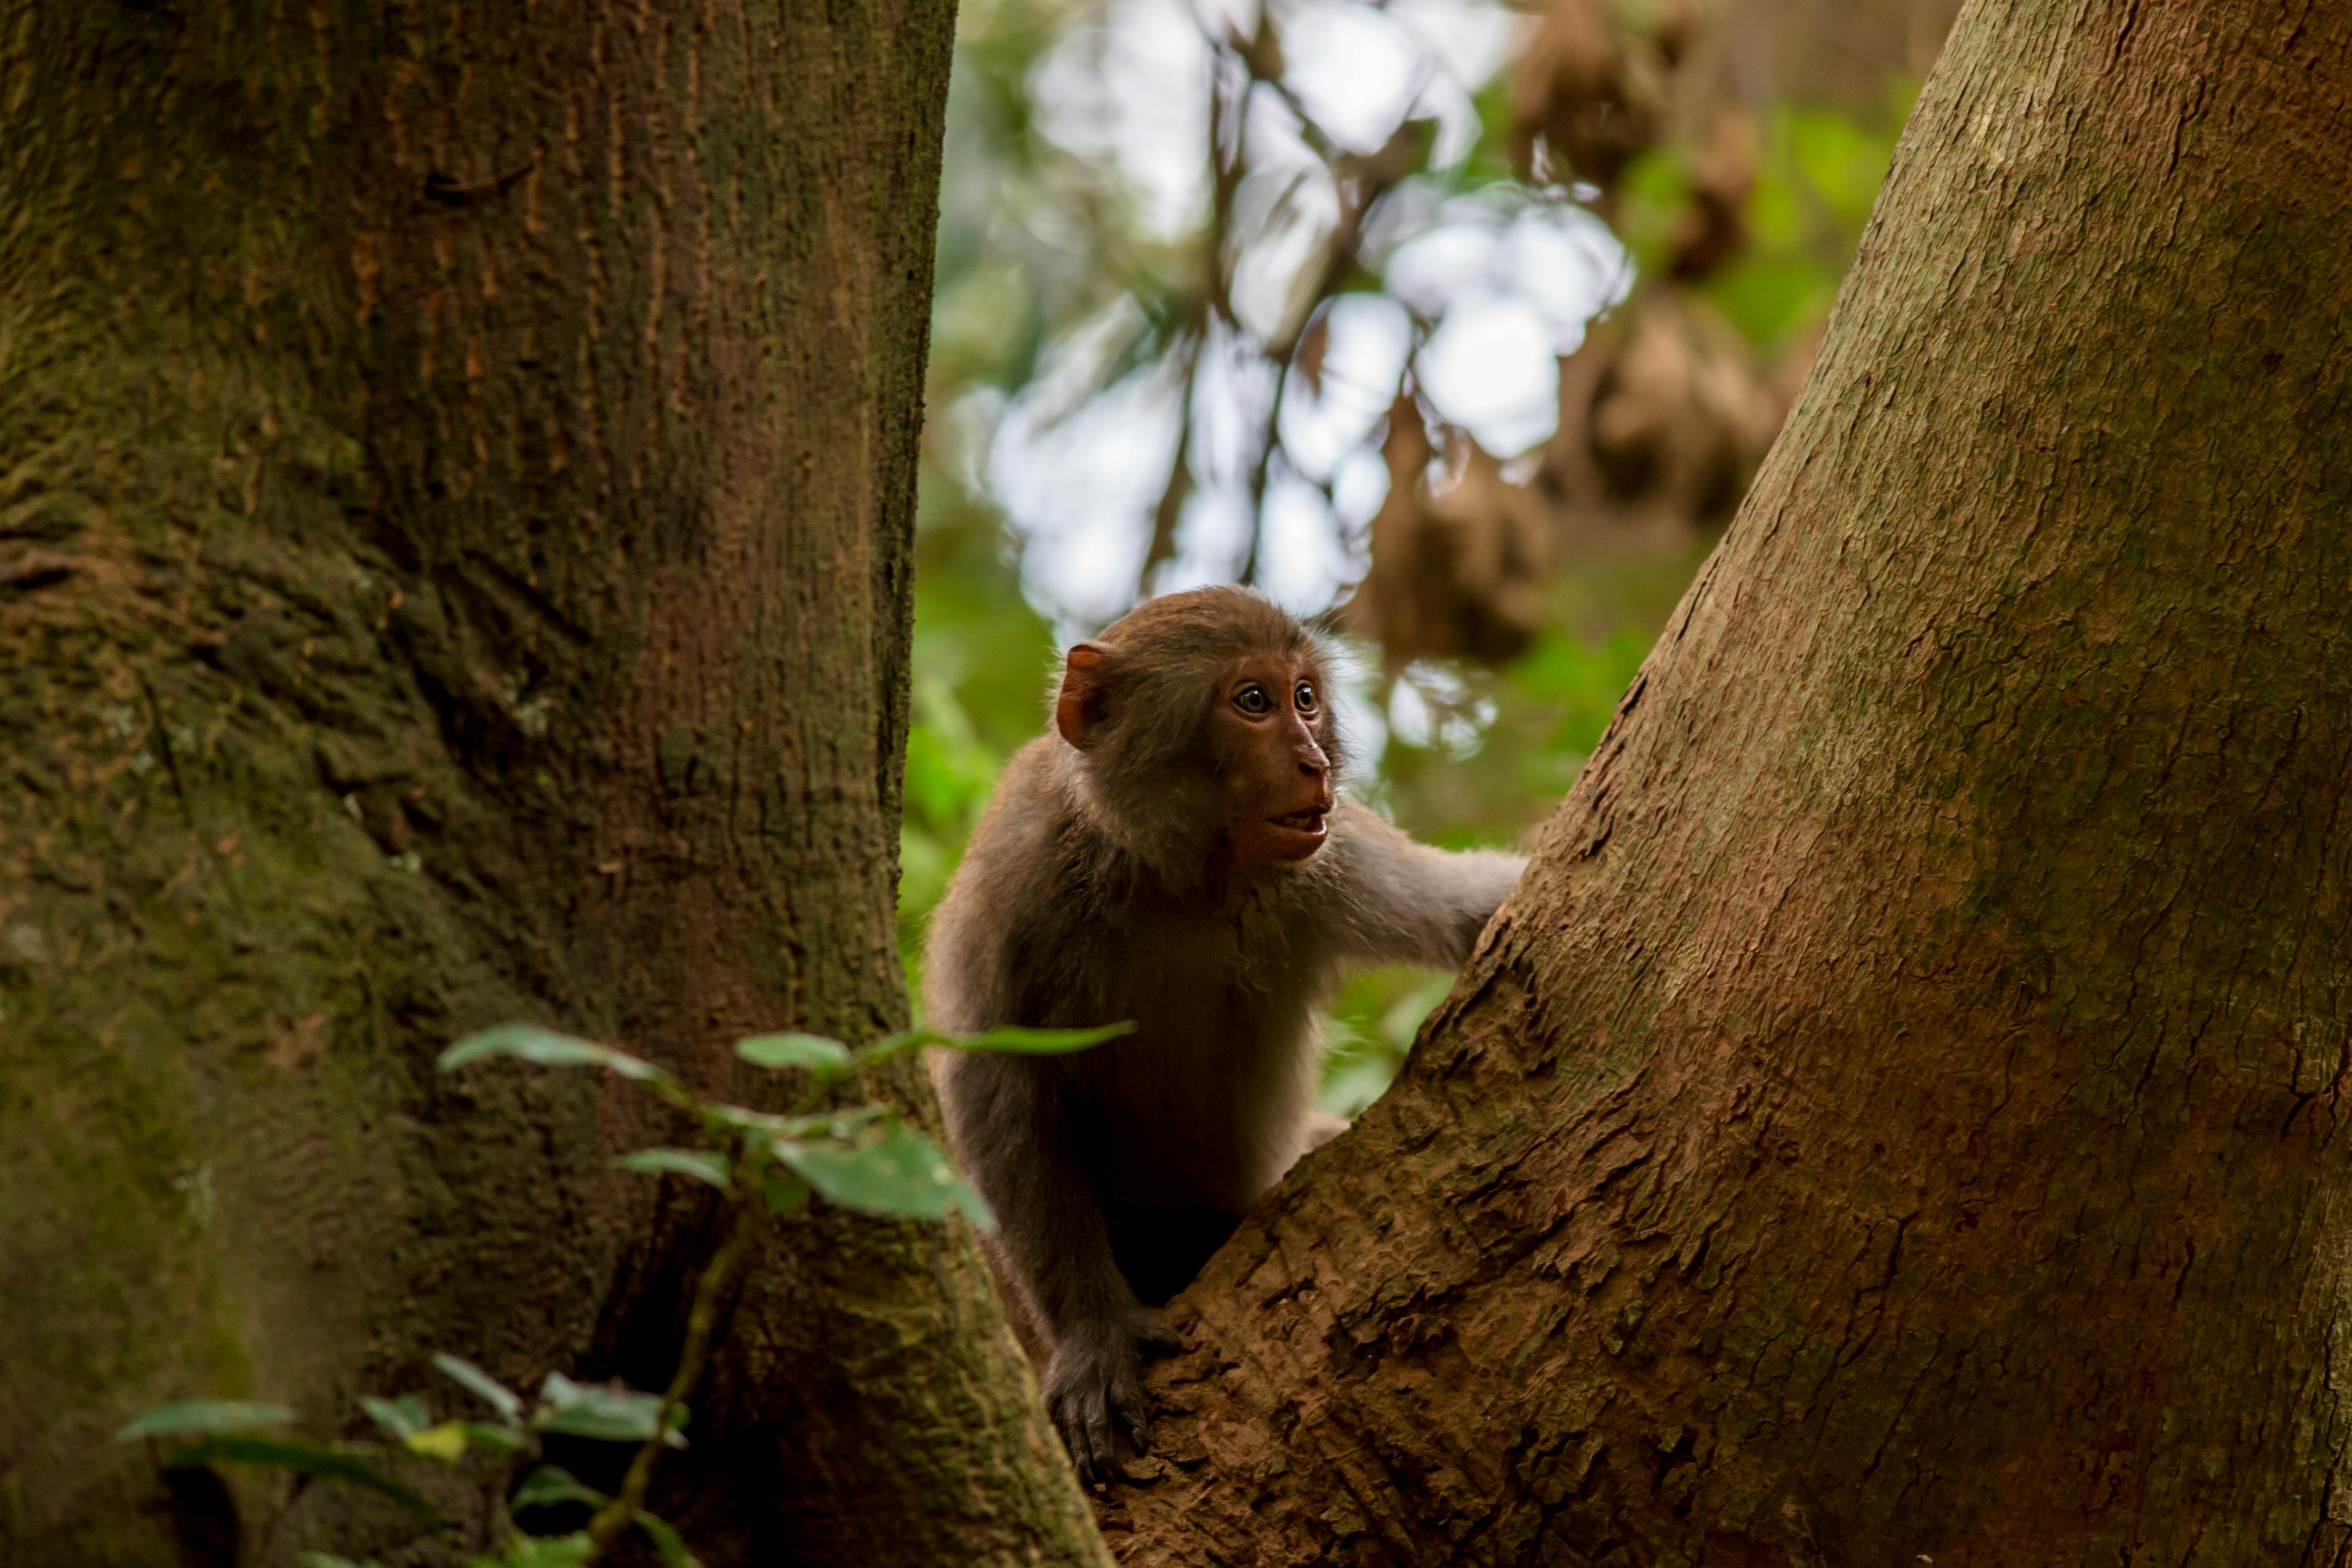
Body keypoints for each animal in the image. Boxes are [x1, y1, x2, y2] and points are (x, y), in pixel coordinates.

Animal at [917, 587, 1524, 1486]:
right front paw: (1092, 1335)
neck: (1177, 881)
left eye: (1306, 697)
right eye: (1253, 702)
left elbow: (1474, 912)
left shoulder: (1336, 853)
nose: (1312, 760)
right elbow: (995, 1092)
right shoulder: (1017, 873)